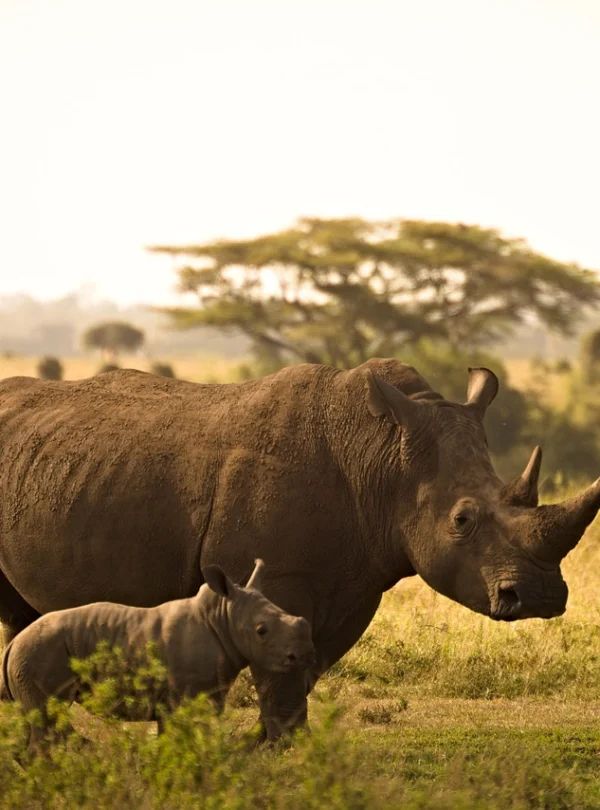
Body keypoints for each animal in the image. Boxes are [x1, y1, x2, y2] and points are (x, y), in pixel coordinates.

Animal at [0, 559, 315, 749]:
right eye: (262, 631)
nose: (304, 656)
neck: (222, 618)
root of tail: (13, 646)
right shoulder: (183, 698)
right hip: (38, 654)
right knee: (47, 722)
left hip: (31, 656)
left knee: (34, 723)